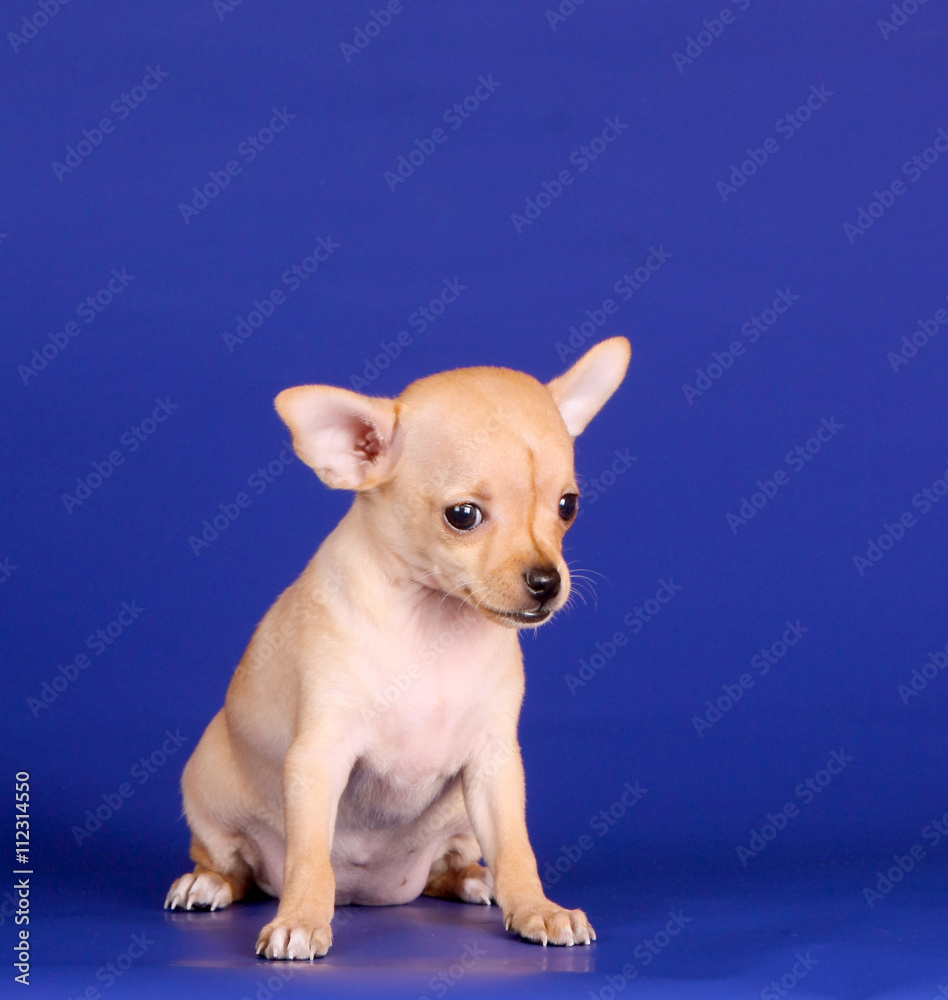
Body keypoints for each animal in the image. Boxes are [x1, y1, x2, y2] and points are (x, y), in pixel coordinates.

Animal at [167, 338, 632, 960]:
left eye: (568, 506)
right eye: (463, 516)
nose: (546, 582)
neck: (430, 625)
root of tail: (371, 891)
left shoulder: (494, 766)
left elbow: (517, 848)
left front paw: (536, 908)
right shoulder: (319, 758)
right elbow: (309, 857)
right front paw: (301, 918)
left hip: (460, 820)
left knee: (449, 865)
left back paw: (473, 877)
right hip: (208, 793)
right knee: (233, 863)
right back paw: (207, 883)